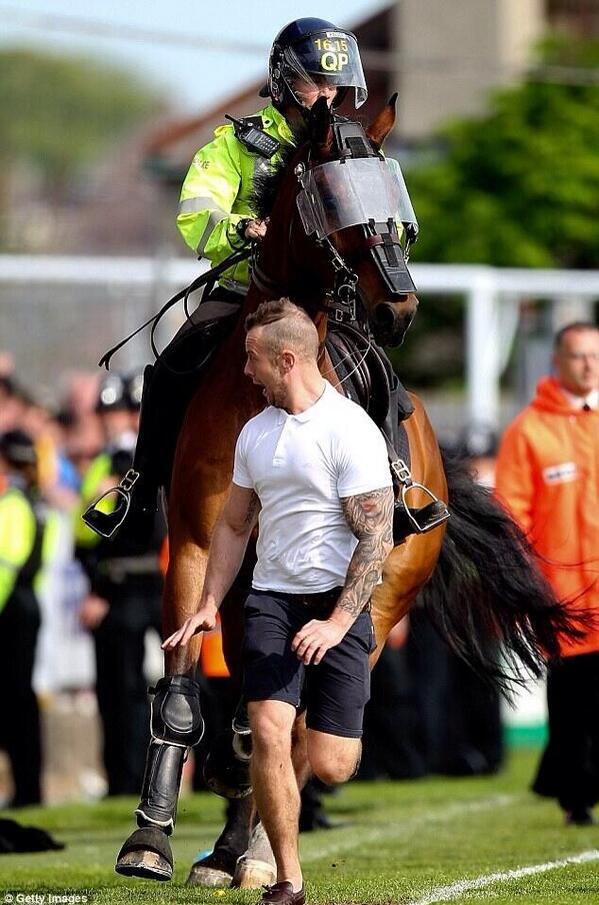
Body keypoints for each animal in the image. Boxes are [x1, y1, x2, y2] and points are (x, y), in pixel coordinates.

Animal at [115, 95, 580, 888]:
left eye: (394, 198)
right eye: (336, 198)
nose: (399, 307)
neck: (267, 393)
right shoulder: (201, 546)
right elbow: (182, 693)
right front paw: (149, 838)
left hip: (382, 596)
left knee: (308, 717)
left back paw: (258, 847)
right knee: (256, 708)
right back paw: (233, 843)